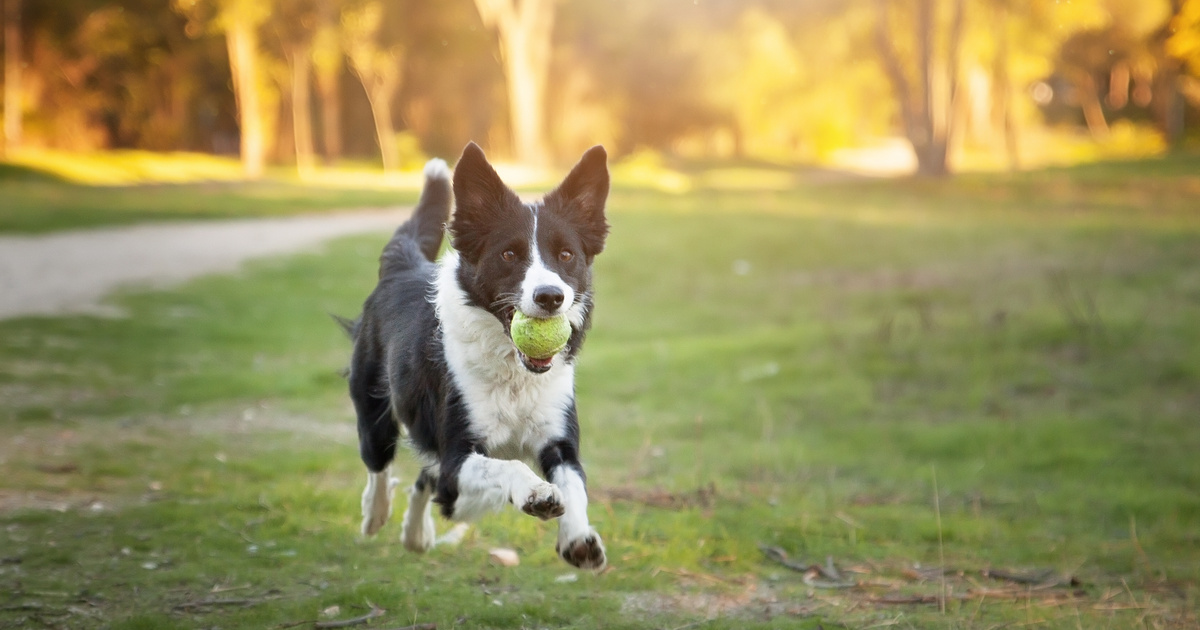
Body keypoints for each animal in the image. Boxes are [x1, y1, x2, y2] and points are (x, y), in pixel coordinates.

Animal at [345, 142, 609, 568]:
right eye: (509, 254)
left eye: (567, 255)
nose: (550, 296)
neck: (514, 373)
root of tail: (404, 266)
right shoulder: (457, 458)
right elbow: (507, 466)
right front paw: (536, 492)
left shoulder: (558, 439)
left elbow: (574, 484)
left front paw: (577, 538)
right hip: (373, 411)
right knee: (380, 466)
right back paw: (375, 513)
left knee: (426, 478)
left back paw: (416, 535)